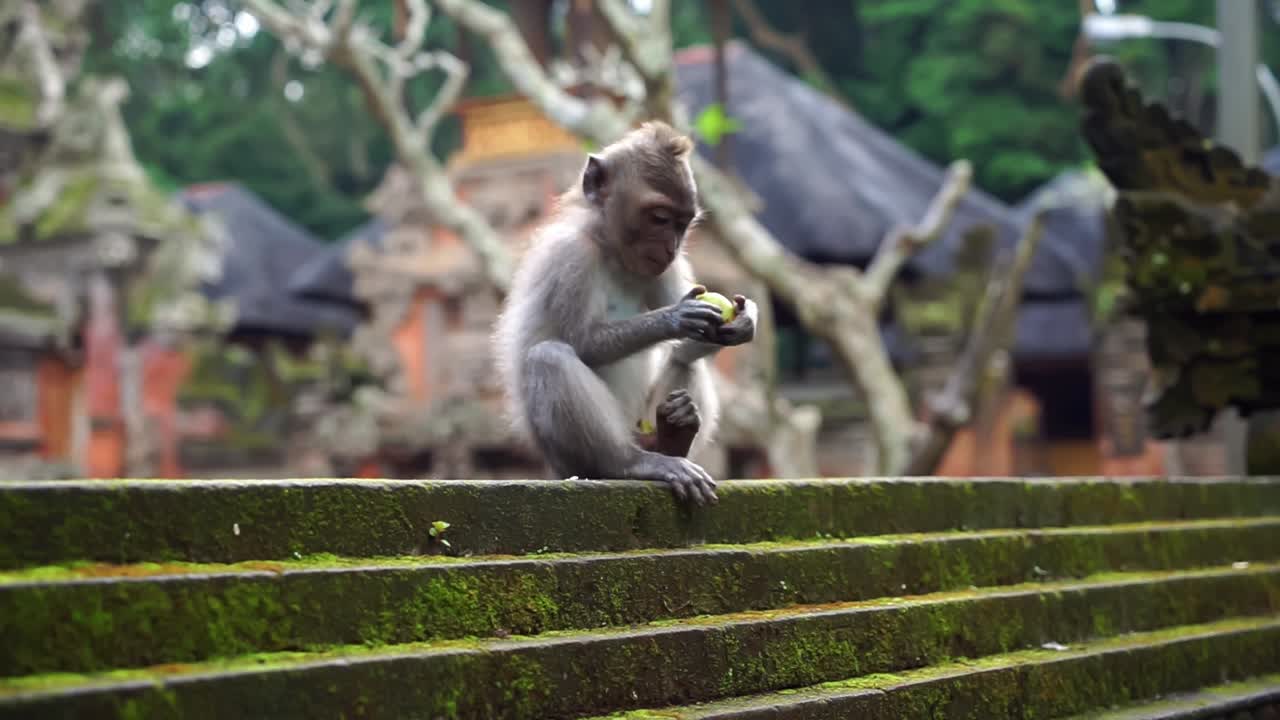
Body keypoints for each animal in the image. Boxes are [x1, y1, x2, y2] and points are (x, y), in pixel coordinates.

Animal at [493, 121, 757, 506]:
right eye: (660, 218)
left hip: (641, 419)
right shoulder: (569, 256)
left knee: (685, 360)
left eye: (682, 223)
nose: (671, 247)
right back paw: (631, 463)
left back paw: (672, 437)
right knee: (549, 357)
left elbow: (696, 343)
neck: (611, 251)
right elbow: (579, 342)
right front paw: (674, 317)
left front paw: (745, 320)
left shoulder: (664, 268)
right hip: (566, 458)